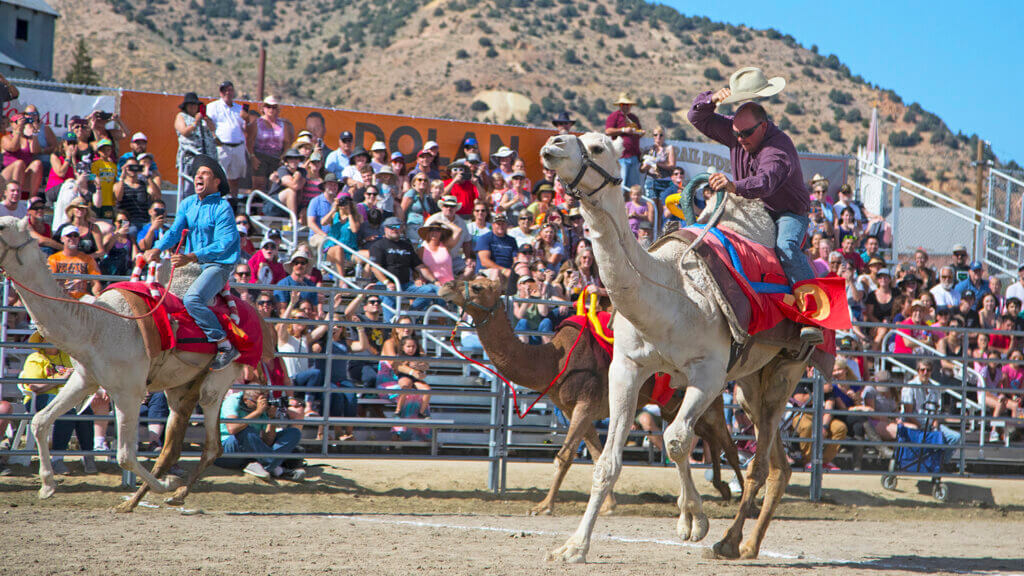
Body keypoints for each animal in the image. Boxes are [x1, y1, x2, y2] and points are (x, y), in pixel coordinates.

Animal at [0, 216, 247, 510]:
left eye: (2, 227)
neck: (94, 327)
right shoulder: (85, 379)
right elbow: (40, 420)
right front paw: (47, 486)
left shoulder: (128, 391)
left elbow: (125, 455)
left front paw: (165, 485)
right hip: (180, 387)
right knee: (178, 441)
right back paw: (163, 495)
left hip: (219, 377)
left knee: (211, 437)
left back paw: (170, 492)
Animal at [440, 276, 745, 512]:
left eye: (477, 286)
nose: (445, 286)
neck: (554, 361)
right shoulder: (575, 409)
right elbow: (598, 456)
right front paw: (609, 505)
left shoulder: (584, 404)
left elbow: (565, 456)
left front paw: (544, 506)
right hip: (673, 404)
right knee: (707, 437)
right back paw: (722, 489)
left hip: (709, 395)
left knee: (728, 444)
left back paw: (745, 497)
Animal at [544, 132, 815, 557]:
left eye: (599, 146)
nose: (552, 145)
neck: (669, 293)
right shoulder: (628, 367)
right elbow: (609, 462)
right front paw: (574, 547)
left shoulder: (708, 373)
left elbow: (675, 440)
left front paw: (697, 522)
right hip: (749, 383)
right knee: (779, 466)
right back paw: (749, 545)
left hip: (786, 371)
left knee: (759, 462)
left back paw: (729, 542)